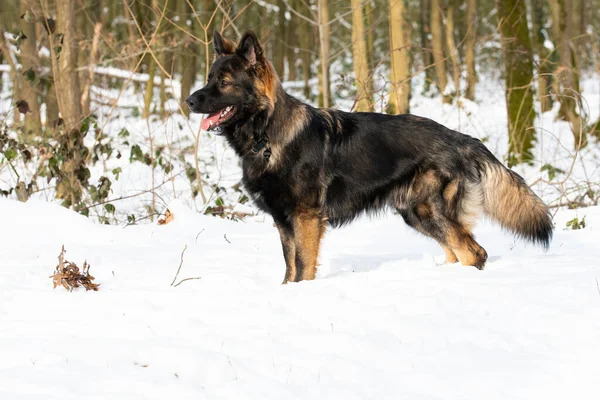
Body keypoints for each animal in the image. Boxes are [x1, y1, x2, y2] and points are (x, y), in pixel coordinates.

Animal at [186, 31, 552, 282]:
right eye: (208, 78)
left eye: (225, 82)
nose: (189, 100)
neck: (267, 133)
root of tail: (463, 139)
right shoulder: (283, 220)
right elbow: (290, 267)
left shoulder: (305, 218)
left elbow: (303, 266)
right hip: (416, 213)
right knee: (457, 251)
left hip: (430, 210)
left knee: (475, 253)